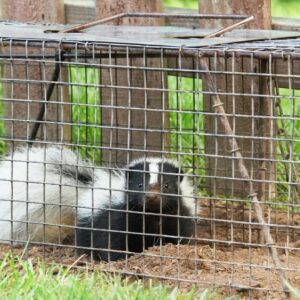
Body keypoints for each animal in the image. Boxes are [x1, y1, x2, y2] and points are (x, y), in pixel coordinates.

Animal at [0, 147, 197, 260]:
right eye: (140, 185)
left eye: (167, 185)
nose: (152, 197)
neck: (151, 214)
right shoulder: (117, 216)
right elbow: (112, 241)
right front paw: (118, 258)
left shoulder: (177, 215)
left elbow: (178, 236)